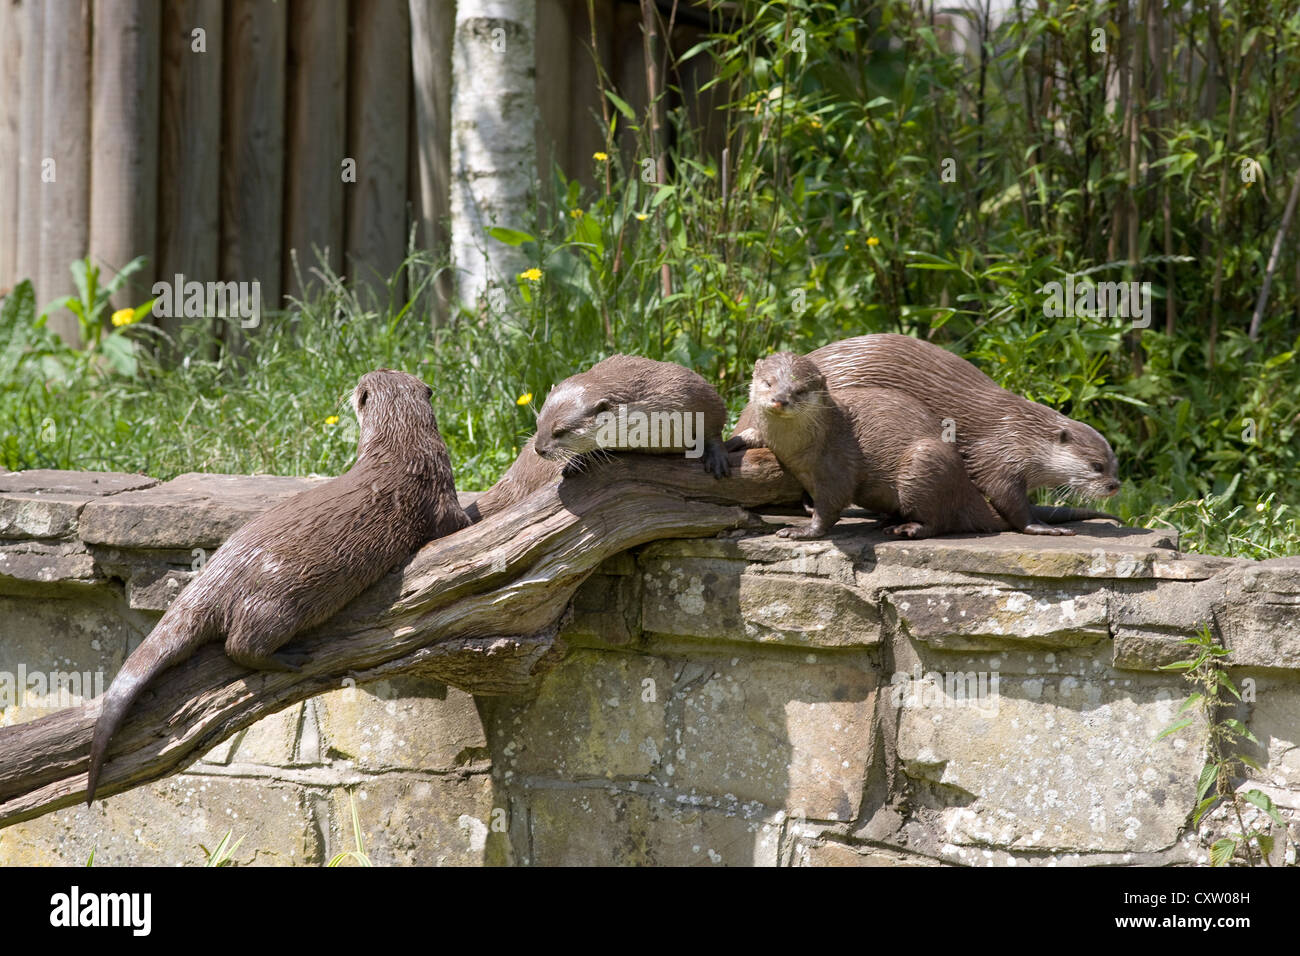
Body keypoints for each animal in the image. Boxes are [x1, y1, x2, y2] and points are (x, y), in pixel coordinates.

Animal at [82, 369, 467, 806]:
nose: (359, 377)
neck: (403, 446)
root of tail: (215, 577)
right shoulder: (439, 499)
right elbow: (457, 522)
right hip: (276, 601)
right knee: (240, 646)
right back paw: (291, 657)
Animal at [530, 353, 733, 478]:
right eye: (538, 423)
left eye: (559, 431)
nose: (539, 449)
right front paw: (576, 460)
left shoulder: (695, 393)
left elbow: (712, 428)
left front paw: (716, 456)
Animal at [733, 335, 1118, 530]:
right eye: (1096, 466)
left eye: (1115, 465)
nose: (1114, 486)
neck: (1021, 433)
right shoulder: (997, 456)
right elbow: (1008, 499)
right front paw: (1041, 526)